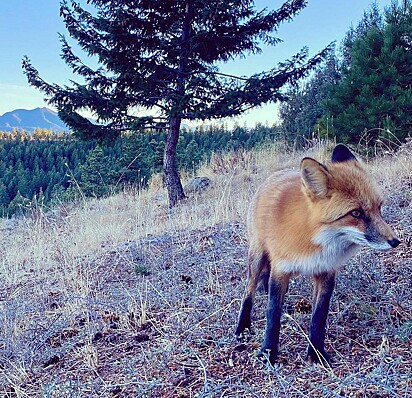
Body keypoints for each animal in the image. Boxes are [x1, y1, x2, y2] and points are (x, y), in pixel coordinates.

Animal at [237, 145, 400, 366]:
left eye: (379, 208)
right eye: (356, 213)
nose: (395, 241)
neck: (313, 239)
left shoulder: (326, 272)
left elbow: (318, 318)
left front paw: (316, 354)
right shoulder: (280, 271)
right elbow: (272, 316)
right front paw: (268, 352)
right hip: (257, 257)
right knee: (249, 291)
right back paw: (243, 327)